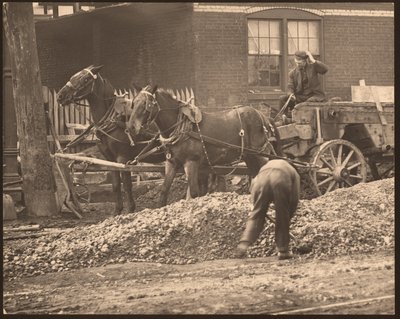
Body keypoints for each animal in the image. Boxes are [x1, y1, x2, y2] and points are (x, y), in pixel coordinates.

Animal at [56, 65, 166, 215]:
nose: (60, 96)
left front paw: (130, 210)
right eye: (73, 76)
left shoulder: (123, 159)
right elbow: (115, 185)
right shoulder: (110, 159)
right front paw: (117, 210)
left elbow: (127, 185)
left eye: (85, 79)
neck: (114, 120)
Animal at [126, 84, 282, 208]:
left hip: (260, 155)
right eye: (133, 103)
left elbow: (194, 192)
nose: (130, 128)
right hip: (250, 156)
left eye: (146, 104)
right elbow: (164, 190)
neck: (180, 127)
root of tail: (264, 117)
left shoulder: (191, 162)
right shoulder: (171, 162)